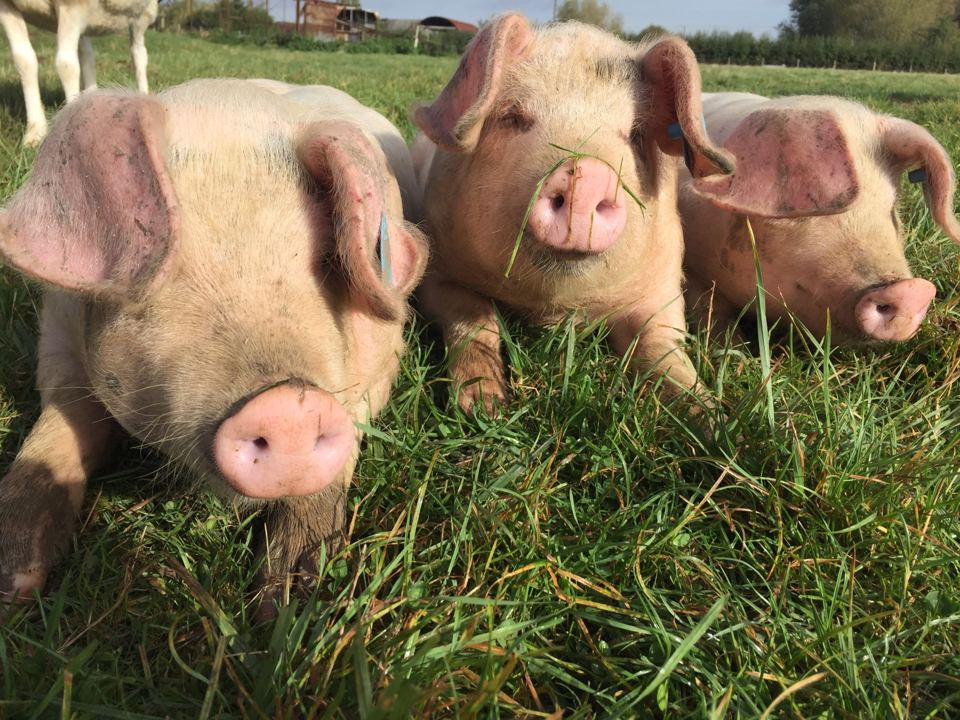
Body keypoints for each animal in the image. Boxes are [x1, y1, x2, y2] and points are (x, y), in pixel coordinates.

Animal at [0, 0, 158, 146]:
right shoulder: (7, 7)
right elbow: (24, 61)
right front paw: (35, 131)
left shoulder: (72, 6)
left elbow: (66, 66)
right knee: (87, 55)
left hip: (141, 14)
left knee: (138, 53)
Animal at [0, 79, 428, 609]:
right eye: (166, 267)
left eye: (326, 260)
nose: (289, 404)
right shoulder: (56, 337)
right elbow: (59, 425)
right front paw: (13, 585)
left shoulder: (388, 351)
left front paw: (289, 599)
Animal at [411, 14, 799, 413]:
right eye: (513, 117)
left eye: (635, 134)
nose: (585, 173)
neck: (553, 306)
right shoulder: (440, 271)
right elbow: (474, 321)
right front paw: (483, 406)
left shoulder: (662, 288)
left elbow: (663, 351)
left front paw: (707, 417)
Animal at [680, 92, 960, 343]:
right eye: (800, 209)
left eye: (891, 208)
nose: (909, 292)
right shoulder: (693, 268)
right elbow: (712, 312)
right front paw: (735, 349)